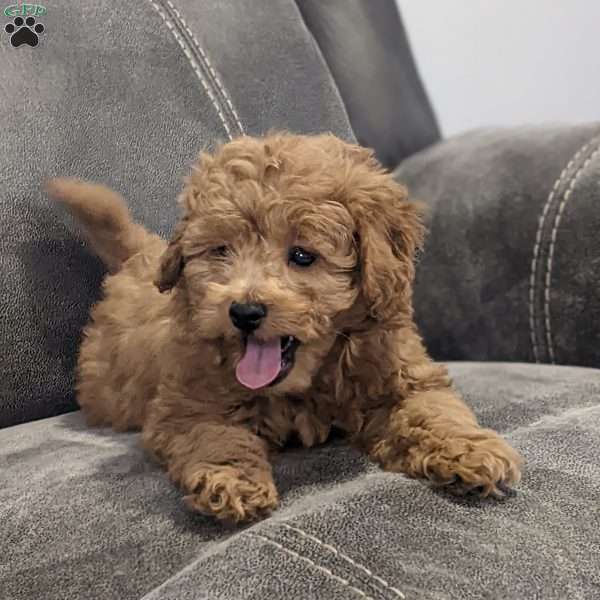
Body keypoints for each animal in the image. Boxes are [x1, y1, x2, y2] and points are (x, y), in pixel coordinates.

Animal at [49, 134, 524, 524]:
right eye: (221, 251)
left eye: (302, 256)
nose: (244, 311)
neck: (307, 383)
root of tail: (139, 255)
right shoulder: (186, 405)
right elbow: (216, 438)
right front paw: (231, 480)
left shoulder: (403, 374)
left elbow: (434, 411)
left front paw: (471, 450)